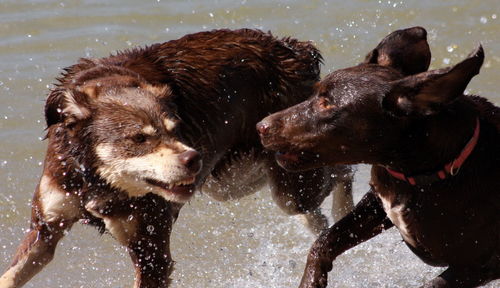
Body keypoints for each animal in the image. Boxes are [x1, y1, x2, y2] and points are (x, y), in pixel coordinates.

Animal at [0, 29, 356, 288]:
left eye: (175, 129)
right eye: (139, 139)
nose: (192, 158)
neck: (97, 179)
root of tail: (295, 50)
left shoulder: (150, 250)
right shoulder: (46, 227)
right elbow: (12, 274)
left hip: (286, 182)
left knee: (342, 170)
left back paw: (346, 211)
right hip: (232, 181)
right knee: (316, 205)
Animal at [258, 25, 500, 286]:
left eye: (327, 104)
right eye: (315, 94)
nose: (260, 126)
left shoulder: (478, 267)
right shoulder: (378, 203)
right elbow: (325, 239)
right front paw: (311, 280)